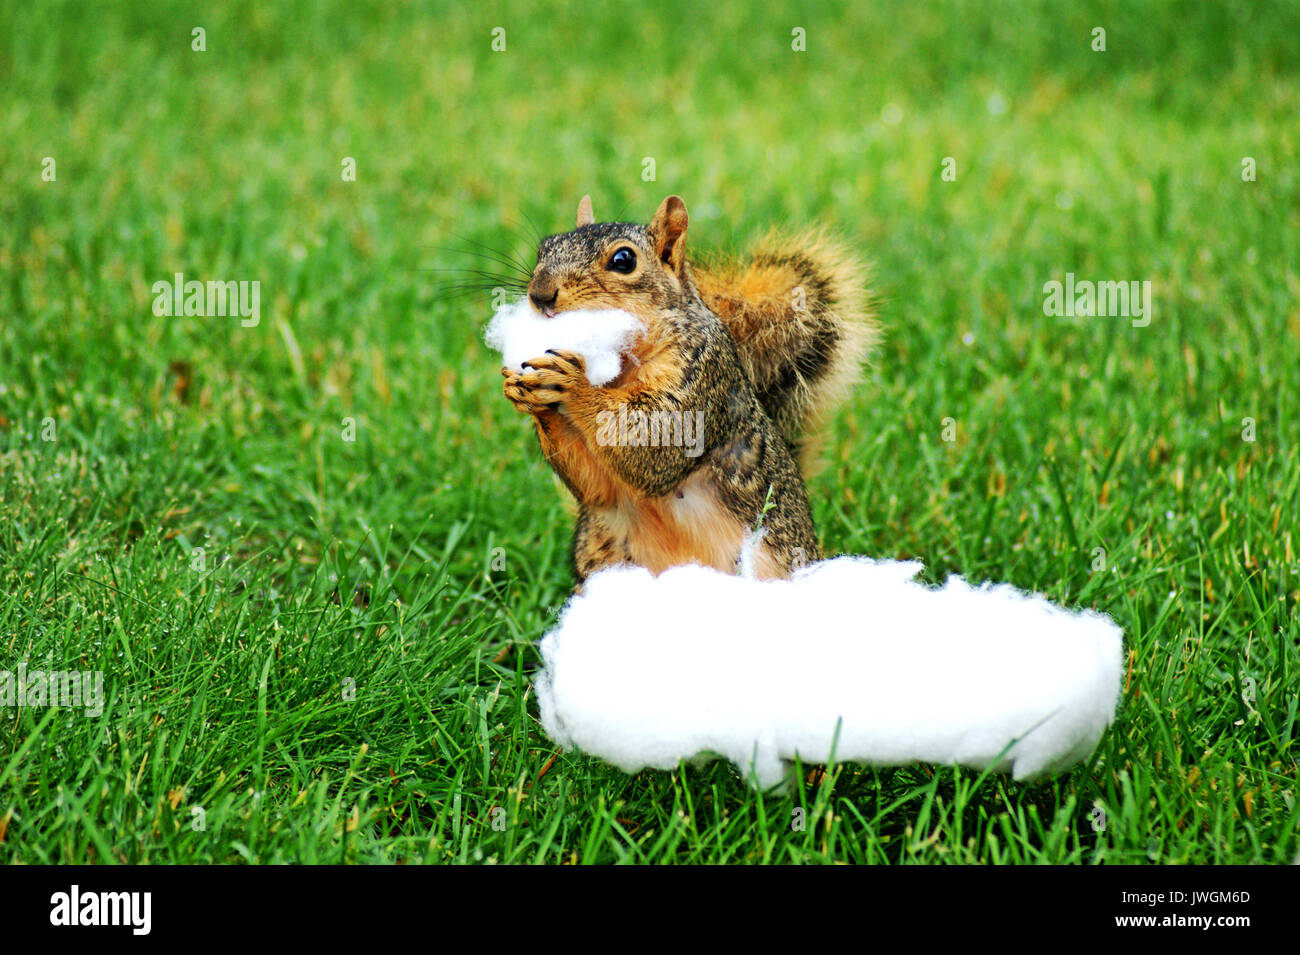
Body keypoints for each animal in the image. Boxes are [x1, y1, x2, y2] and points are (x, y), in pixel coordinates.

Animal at [501, 194, 876, 583]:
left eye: (623, 260)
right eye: (545, 246)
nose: (540, 294)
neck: (625, 369)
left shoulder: (702, 374)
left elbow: (655, 444)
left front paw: (575, 384)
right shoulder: (604, 492)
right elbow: (597, 488)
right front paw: (523, 391)